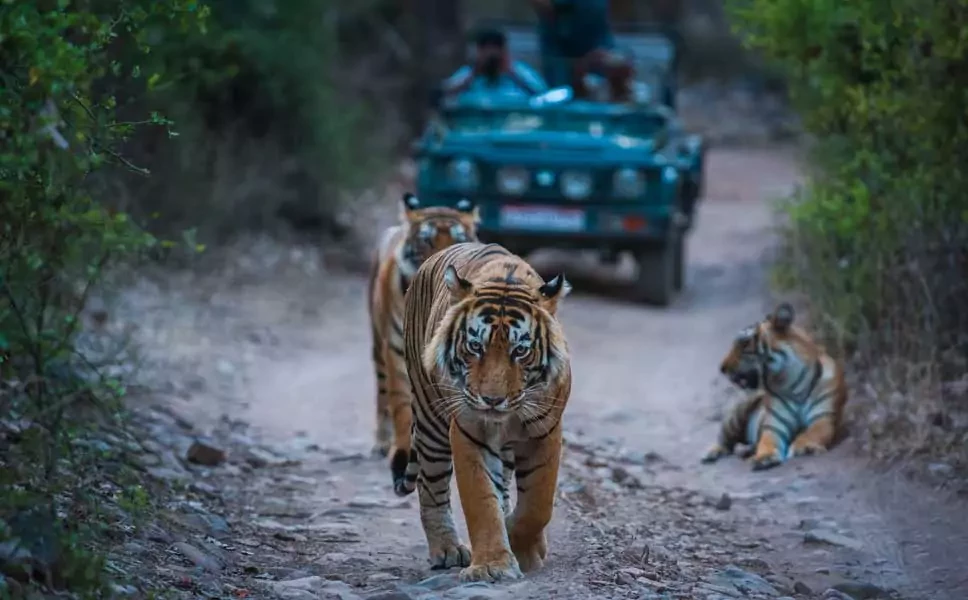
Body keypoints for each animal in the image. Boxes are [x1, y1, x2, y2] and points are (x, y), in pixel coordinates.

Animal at [366, 192, 480, 460]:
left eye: (459, 240)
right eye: (427, 240)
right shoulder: (396, 348)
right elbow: (400, 402)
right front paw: (401, 448)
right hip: (378, 343)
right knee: (382, 392)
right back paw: (381, 443)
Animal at [396, 241, 576, 584]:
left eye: (520, 351)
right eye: (475, 347)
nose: (492, 400)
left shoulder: (546, 431)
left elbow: (538, 502)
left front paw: (524, 546)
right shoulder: (469, 431)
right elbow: (481, 500)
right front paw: (493, 564)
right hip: (430, 419)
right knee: (431, 486)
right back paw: (447, 550)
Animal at [700, 302, 852, 472]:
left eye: (744, 345)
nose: (722, 368)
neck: (792, 383)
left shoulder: (823, 417)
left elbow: (812, 432)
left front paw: (804, 447)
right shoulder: (774, 424)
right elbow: (767, 440)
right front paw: (764, 457)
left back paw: (746, 450)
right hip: (738, 411)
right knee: (725, 440)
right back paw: (711, 453)